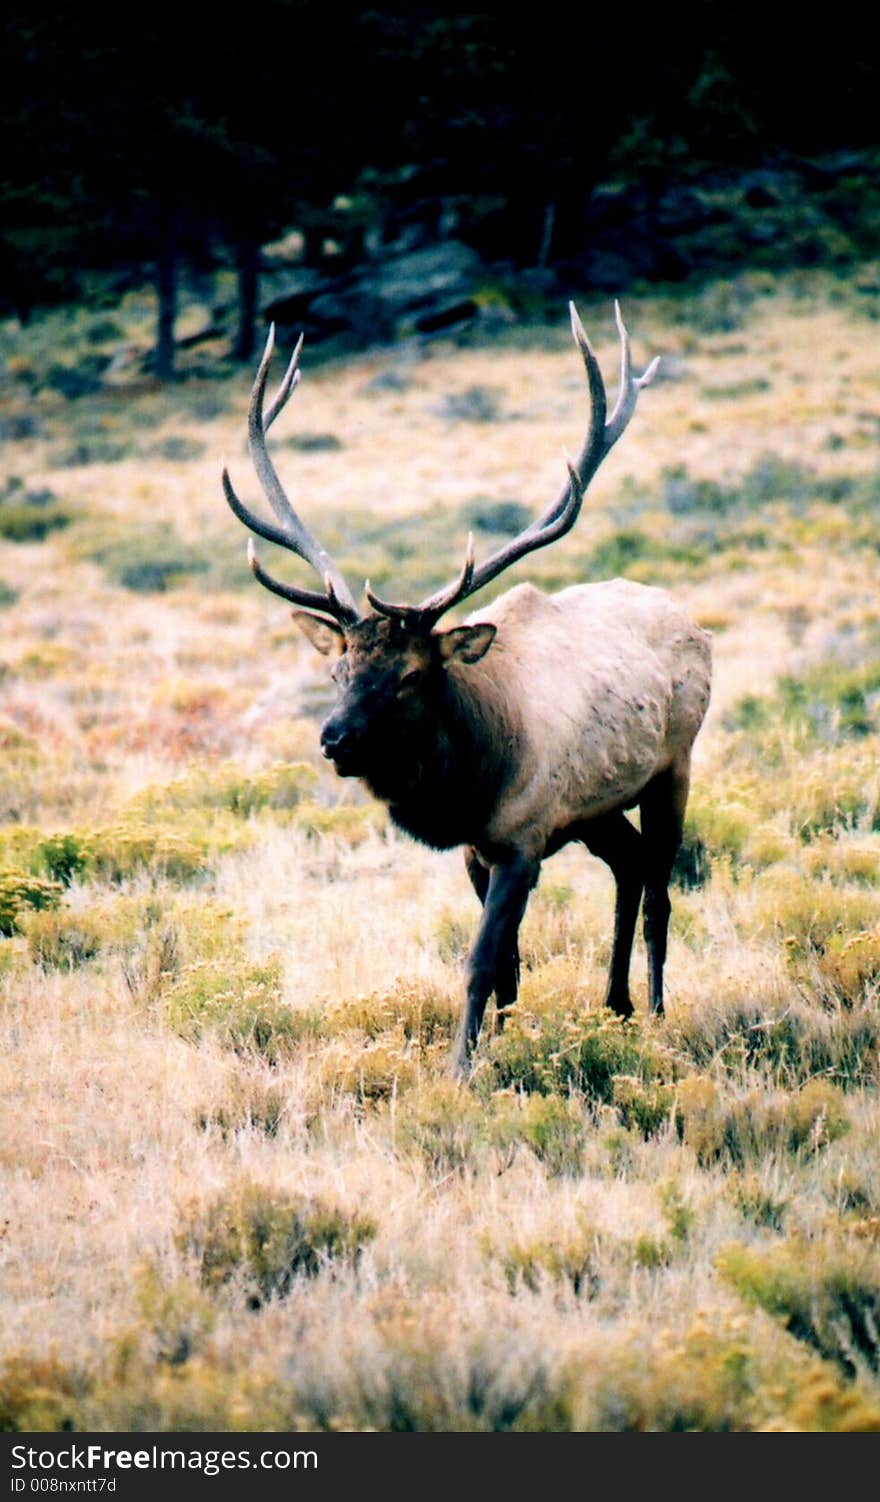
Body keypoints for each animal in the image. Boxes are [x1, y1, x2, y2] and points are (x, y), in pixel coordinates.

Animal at [222, 304, 708, 1075]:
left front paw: (461, 1068)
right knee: (631, 868)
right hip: (595, 807)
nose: (335, 739)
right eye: (337, 671)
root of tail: (693, 622)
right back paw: (616, 1006)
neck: (473, 780)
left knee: (661, 884)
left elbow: (481, 960)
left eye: (412, 675)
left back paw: (658, 1012)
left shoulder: (522, 839)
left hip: (674, 765)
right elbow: (507, 963)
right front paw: (501, 1043)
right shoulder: (482, 848)